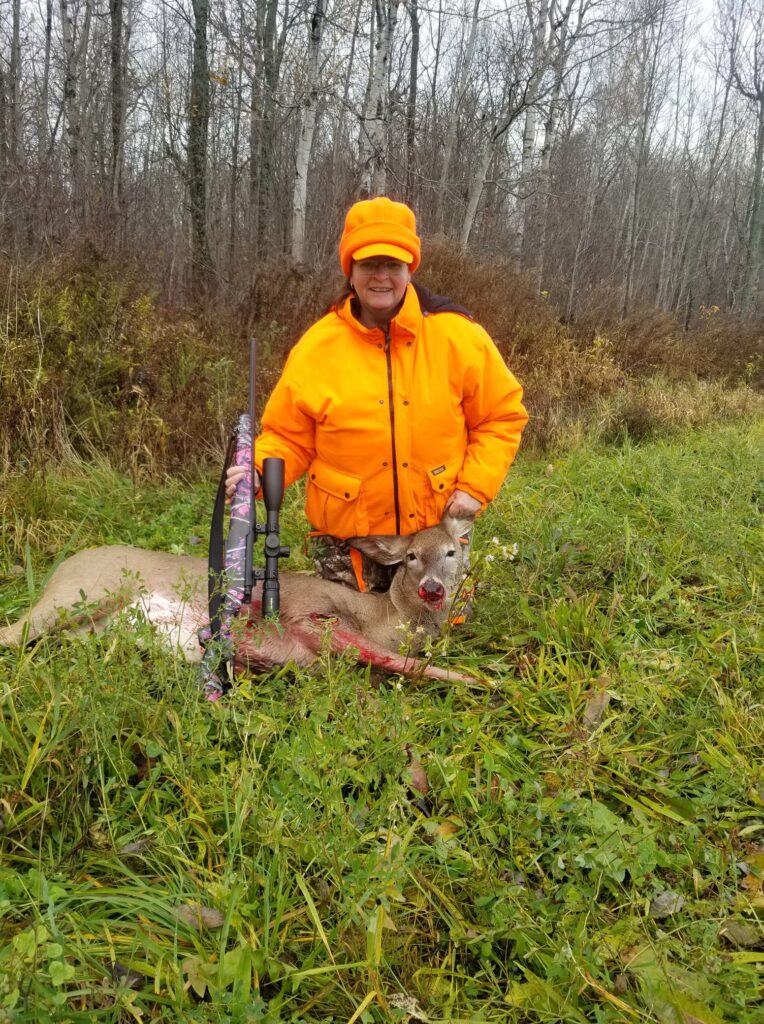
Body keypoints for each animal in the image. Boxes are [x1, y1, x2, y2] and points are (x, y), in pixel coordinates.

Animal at [0, 520, 473, 679]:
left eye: (453, 551)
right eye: (411, 556)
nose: (433, 589)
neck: (382, 616)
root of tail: (62, 565)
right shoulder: (312, 616)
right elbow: (411, 665)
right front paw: (491, 685)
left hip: (82, 626)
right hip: (77, 595)